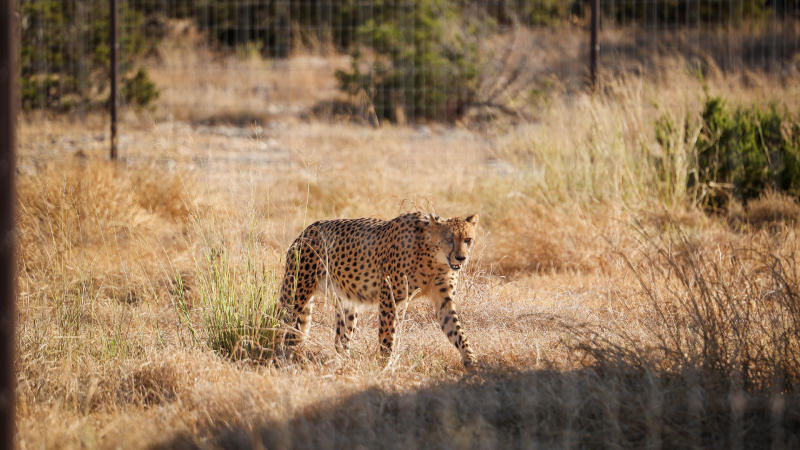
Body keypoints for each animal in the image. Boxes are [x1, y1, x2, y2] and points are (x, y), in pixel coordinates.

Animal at [276, 212, 479, 368]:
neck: (434, 259)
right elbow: (387, 334)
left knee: (341, 338)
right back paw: (276, 355)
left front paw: (472, 361)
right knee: (280, 323)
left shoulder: (444, 301)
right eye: (449, 239)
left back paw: (344, 362)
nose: (461, 258)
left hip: (346, 304)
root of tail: (306, 231)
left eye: (468, 240)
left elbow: (457, 331)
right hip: (296, 293)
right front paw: (385, 364)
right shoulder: (389, 297)